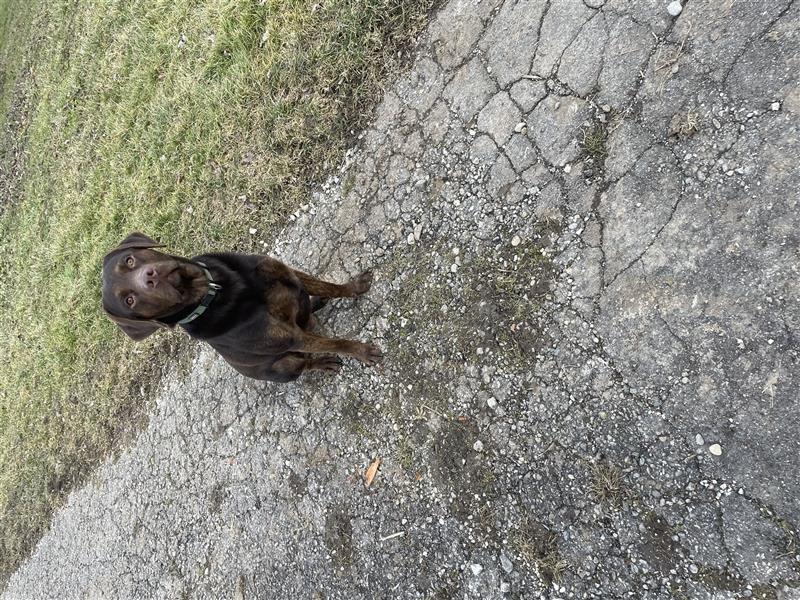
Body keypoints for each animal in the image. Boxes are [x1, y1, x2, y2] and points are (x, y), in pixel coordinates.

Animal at [101, 232, 382, 382]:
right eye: (129, 300)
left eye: (129, 260)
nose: (150, 278)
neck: (221, 291)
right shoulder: (292, 338)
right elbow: (335, 343)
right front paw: (362, 351)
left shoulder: (290, 275)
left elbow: (329, 287)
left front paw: (354, 287)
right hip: (283, 366)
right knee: (303, 363)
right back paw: (322, 363)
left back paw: (315, 305)